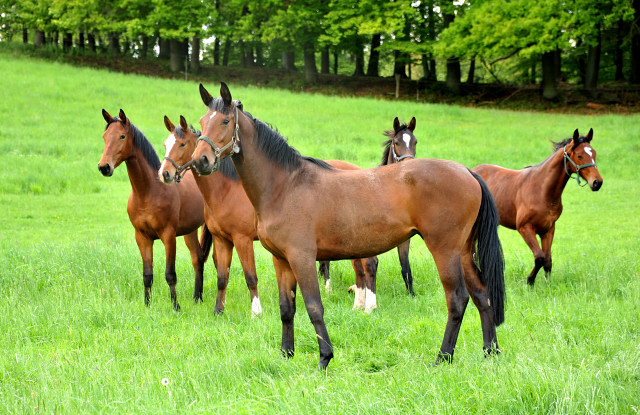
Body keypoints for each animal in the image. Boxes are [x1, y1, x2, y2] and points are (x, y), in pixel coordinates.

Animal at [97, 109, 209, 310]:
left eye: (122, 136)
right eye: (105, 136)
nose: (104, 167)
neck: (148, 192)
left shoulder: (168, 236)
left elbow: (170, 274)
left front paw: (176, 306)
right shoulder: (142, 237)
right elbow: (147, 275)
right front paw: (147, 305)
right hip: (190, 231)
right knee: (197, 258)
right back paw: (197, 298)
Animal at [159, 115, 380, 314]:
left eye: (182, 144)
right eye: (165, 144)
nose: (165, 173)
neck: (226, 190)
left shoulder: (242, 240)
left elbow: (250, 277)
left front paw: (257, 312)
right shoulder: (223, 239)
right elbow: (223, 278)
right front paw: (219, 311)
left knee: (367, 265)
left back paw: (368, 306)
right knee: (360, 267)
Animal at [316, 117, 420, 298]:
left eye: (415, 141)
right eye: (397, 142)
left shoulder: (404, 238)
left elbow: (405, 267)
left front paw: (411, 296)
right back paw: (328, 289)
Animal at [472, 129, 604, 286]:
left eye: (594, 154)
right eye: (579, 155)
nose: (597, 182)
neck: (541, 190)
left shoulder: (548, 229)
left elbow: (548, 259)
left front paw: (547, 284)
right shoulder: (525, 228)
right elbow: (540, 257)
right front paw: (530, 281)